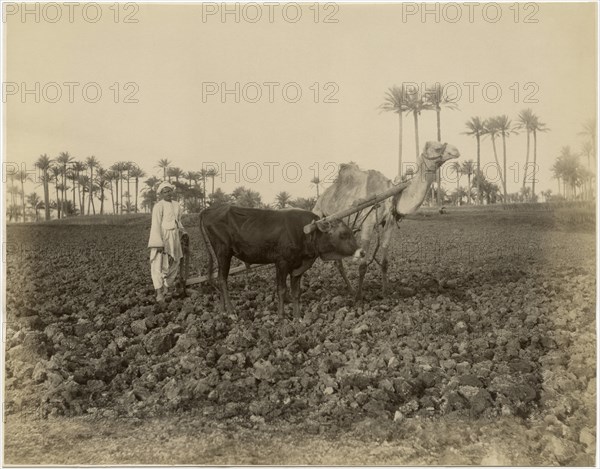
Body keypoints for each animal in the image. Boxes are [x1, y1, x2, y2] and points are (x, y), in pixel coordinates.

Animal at [314, 139, 460, 302]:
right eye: (437, 148)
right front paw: (359, 297)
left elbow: (384, 262)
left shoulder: (389, 222)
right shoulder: (368, 223)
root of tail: (321, 198)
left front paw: (385, 293)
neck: (389, 195)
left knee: (337, 261)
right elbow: (362, 265)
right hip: (320, 216)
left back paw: (350, 290)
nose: (456, 151)